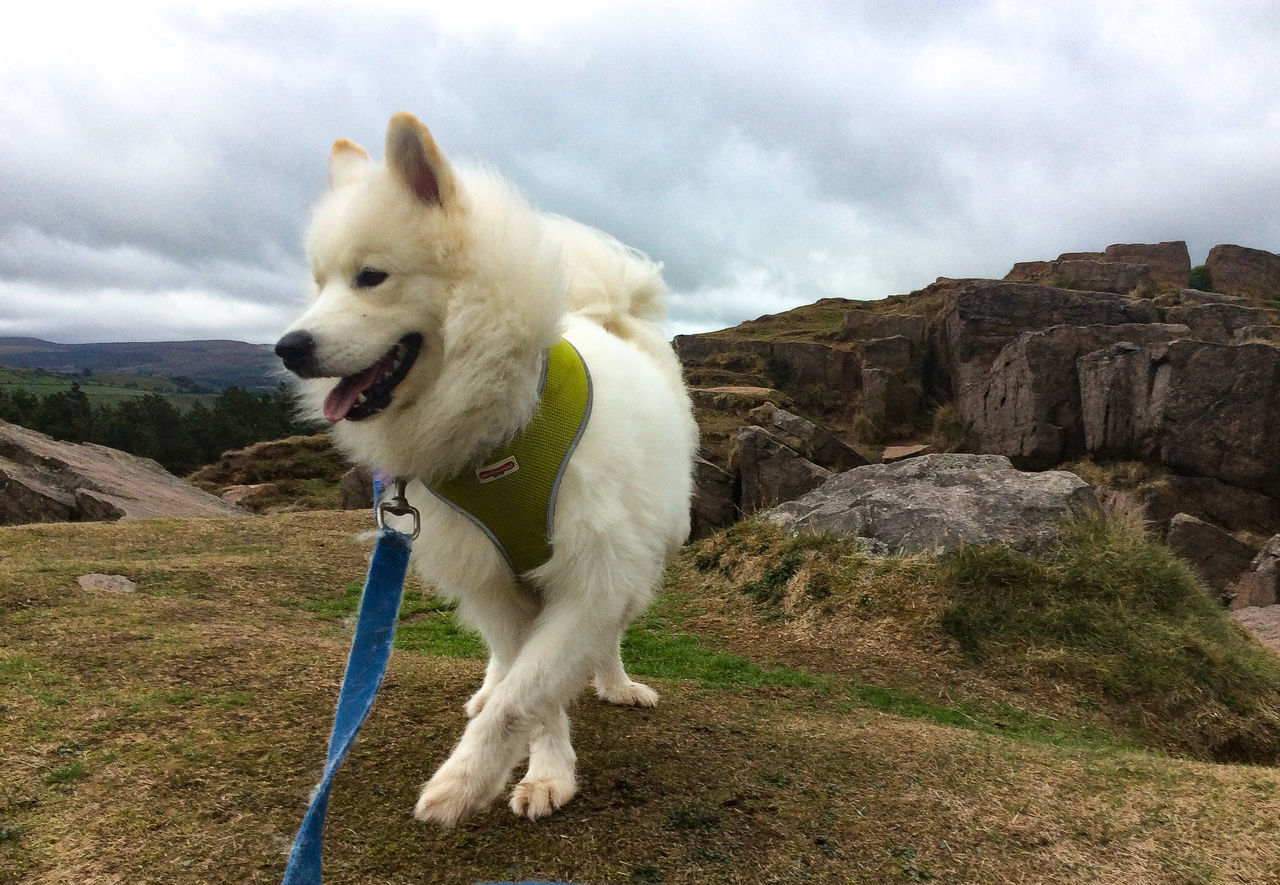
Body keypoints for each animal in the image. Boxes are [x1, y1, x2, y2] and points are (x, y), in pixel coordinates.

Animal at [277, 113, 701, 829]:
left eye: (371, 276)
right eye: (318, 283)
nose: (289, 347)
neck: (505, 423)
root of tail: (611, 312)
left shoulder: (593, 576)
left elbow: (529, 692)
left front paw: (467, 781)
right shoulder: (492, 575)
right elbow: (527, 688)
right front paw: (543, 771)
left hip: (641, 561)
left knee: (607, 637)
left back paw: (615, 683)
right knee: (501, 661)